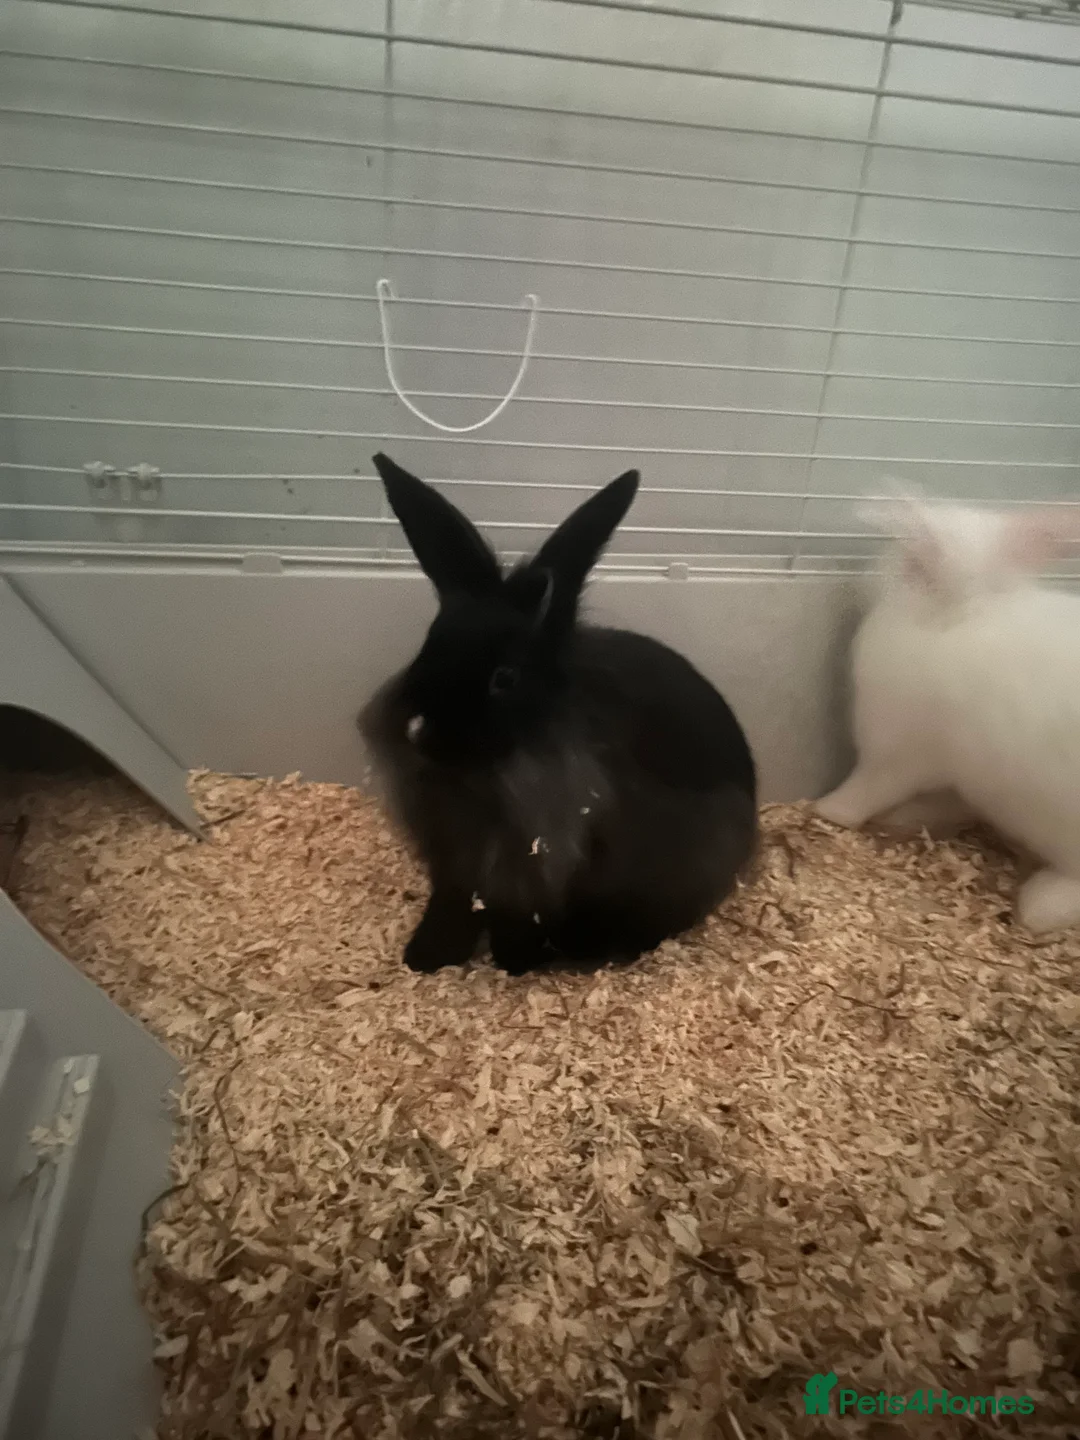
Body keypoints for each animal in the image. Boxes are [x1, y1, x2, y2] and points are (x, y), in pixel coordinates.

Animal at [358, 452, 758, 975]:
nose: (421, 733)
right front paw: (427, 956)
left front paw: (515, 962)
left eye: (504, 677)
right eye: (428, 645)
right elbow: (452, 904)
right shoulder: (457, 865)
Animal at [815, 484, 1080, 934]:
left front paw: (828, 810)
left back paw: (1036, 907)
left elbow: (866, 790)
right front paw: (907, 818)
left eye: (911, 564)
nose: (866, 571)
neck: (966, 611)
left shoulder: (896, 754)